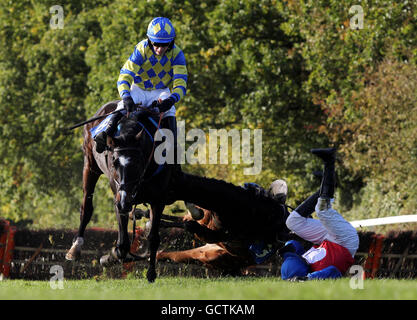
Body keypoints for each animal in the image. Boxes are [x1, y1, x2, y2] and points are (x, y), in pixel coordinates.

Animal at [65, 100, 177, 282]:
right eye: (114, 162)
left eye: (137, 163)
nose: (125, 201)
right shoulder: (118, 196)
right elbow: (123, 245)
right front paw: (109, 257)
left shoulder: (158, 199)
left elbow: (153, 238)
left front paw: (151, 272)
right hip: (90, 166)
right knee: (86, 208)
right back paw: (75, 249)